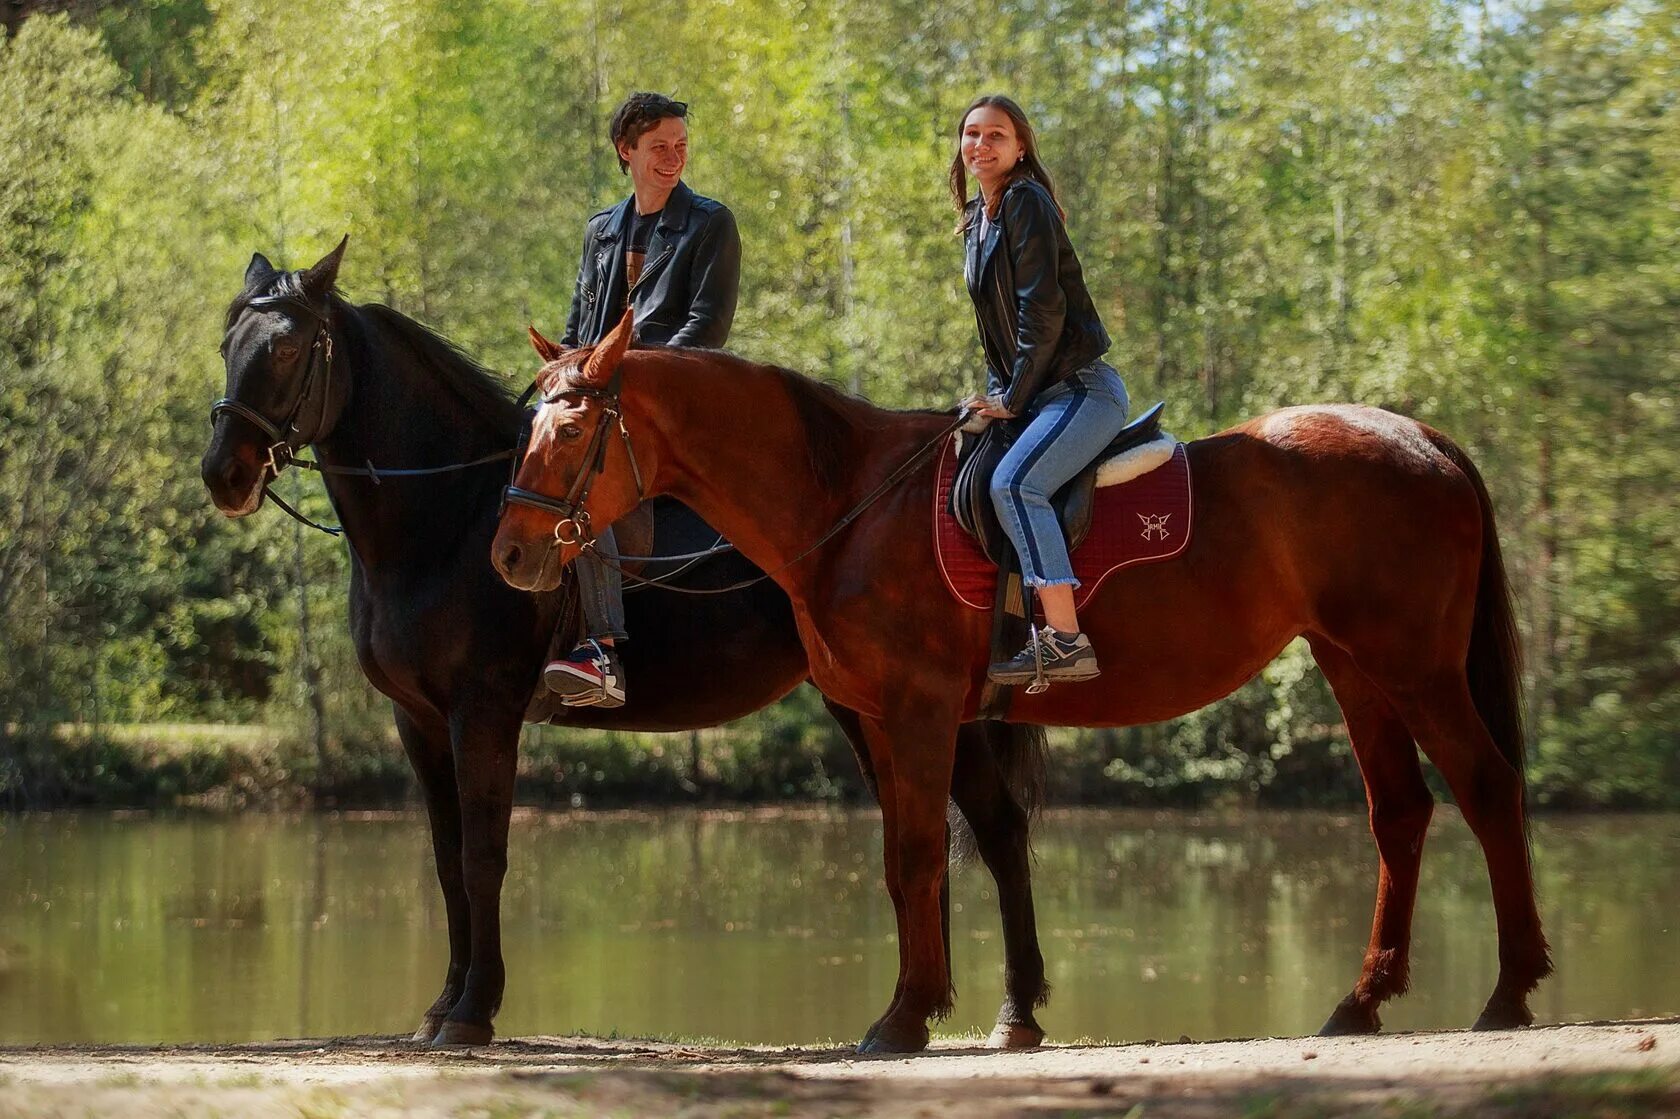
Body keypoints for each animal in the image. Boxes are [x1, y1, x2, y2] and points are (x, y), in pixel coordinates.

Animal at [490, 309, 1552, 1048]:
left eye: (572, 435)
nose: (510, 553)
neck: (847, 502)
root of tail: (1419, 437)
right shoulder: (887, 720)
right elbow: (918, 858)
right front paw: (944, 1005)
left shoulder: (917, 714)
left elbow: (919, 857)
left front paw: (905, 1016)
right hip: (1356, 665)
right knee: (1401, 810)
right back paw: (1362, 999)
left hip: (1413, 666)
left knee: (1487, 787)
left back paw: (1508, 989)